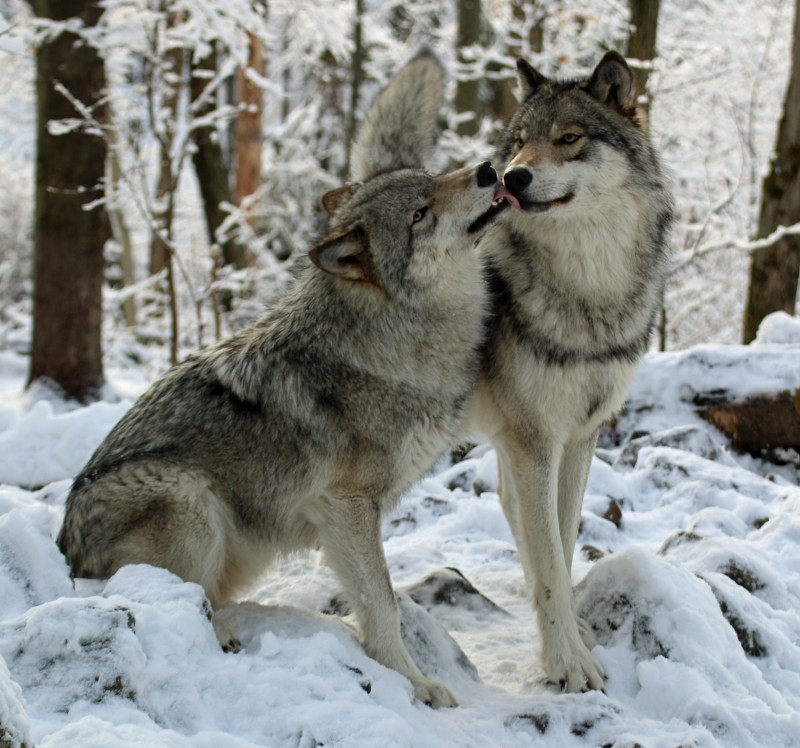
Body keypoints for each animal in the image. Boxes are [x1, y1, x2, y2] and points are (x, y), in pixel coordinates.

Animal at [57, 51, 503, 708]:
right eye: (420, 215)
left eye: (434, 177)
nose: (491, 168)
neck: (395, 342)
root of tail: (63, 546)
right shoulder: (346, 506)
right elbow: (384, 604)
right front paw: (414, 683)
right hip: (191, 498)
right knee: (148, 591)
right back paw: (218, 633)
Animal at [471, 51, 674, 692]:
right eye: (519, 144)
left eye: (568, 139)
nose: (510, 177)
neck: (589, 289)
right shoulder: (537, 440)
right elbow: (553, 567)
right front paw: (567, 663)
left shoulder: (578, 436)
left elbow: (560, 544)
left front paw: (572, 638)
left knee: (510, 505)